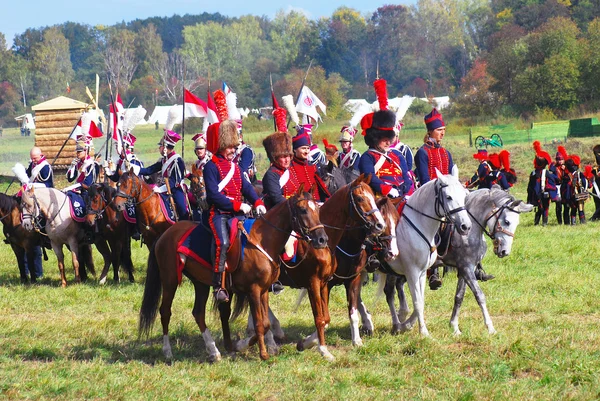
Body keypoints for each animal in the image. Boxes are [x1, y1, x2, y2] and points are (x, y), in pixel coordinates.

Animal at [139, 186, 328, 360]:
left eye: (318, 210)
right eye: (303, 210)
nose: (322, 239)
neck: (262, 241)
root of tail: (165, 235)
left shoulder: (264, 290)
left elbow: (265, 323)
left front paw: (242, 346)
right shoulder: (253, 290)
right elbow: (259, 324)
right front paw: (261, 353)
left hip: (200, 284)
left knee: (198, 313)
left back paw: (214, 351)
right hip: (169, 280)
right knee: (165, 311)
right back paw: (167, 351)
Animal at [260, 175, 386, 360]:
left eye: (373, 197)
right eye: (360, 198)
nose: (380, 225)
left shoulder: (347, 280)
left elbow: (345, 313)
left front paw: (356, 340)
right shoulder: (318, 283)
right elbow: (322, 319)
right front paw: (315, 346)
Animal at [380, 167, 474, 336]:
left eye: (464, 195)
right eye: (448, 197)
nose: (466, 226)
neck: (418, 224)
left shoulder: (422, 272)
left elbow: (421, 300)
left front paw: (409, 324)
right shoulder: (411, 272)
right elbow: (417, 301)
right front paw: (423, 332)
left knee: (388, 292)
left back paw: (396, 325)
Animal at [382, 187, 532, 334]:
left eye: (516, 223)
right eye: (506, 221)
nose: (505, 251)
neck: (470, 230)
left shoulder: (465, 269)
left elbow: (459, 297)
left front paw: (454, 327)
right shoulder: (466, 268)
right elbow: (479, 295)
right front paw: (490, 328)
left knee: (399, 286)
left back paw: (403, 317)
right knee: (390, 292)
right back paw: (398, 324)